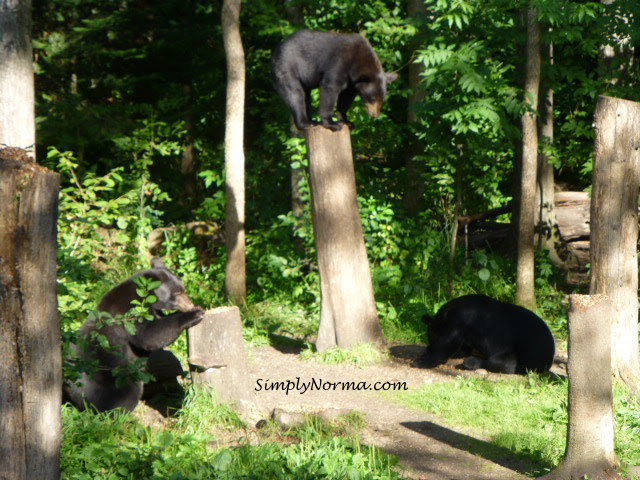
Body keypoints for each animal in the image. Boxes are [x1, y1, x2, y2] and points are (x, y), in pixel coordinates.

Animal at [63, 258, 204, 412]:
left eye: (183, 289)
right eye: (177, 293)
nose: (190, 304)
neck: (149, 298)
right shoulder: (130, 311)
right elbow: (151, 335)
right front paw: (195, 313)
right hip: (110, 373)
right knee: (125, 392)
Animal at [416, 292, 556, 376]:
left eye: (430, 337)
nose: (428, 345)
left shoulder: (457, 326)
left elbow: (445, 346)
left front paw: (422, 361)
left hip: (522, 354)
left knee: (503, 363)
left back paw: (470, 362)